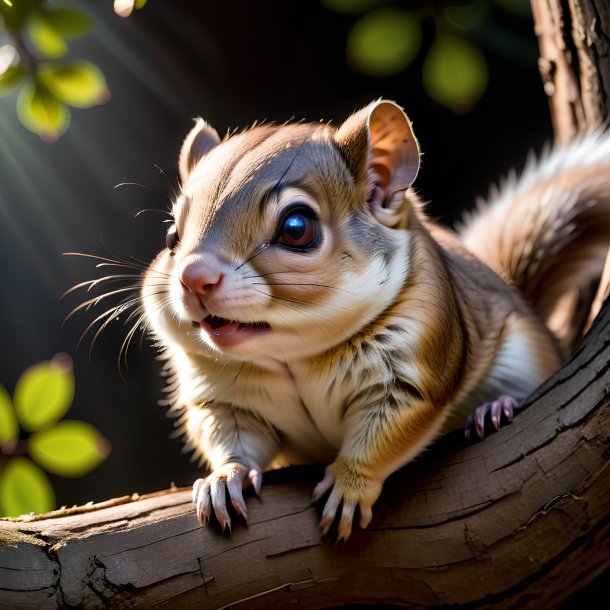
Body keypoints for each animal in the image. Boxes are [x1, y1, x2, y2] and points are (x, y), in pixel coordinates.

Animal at [88, 101, 608, 540]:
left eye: (297, 228)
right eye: (171, 236)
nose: (193, 278)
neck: (293, 353)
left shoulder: (413, 369)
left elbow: (388, 433)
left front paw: (350, 484)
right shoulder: (225, 399)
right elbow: (231, 436)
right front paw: (223, 478)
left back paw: (493, 408)